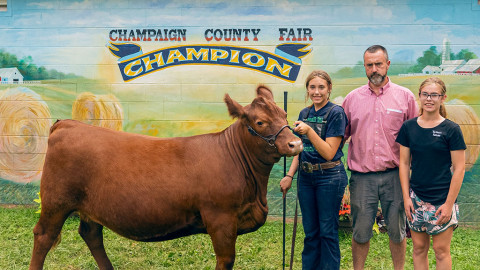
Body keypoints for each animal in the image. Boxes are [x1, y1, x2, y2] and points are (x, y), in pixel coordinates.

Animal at [28, 85, 302, 268]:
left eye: (284, 116)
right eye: (260, 122)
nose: (296, 143)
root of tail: (67, 124)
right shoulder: (220, 218)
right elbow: (226, 260)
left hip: (89, 205)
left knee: (91, 234)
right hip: (56, 202)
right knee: (44, 236)